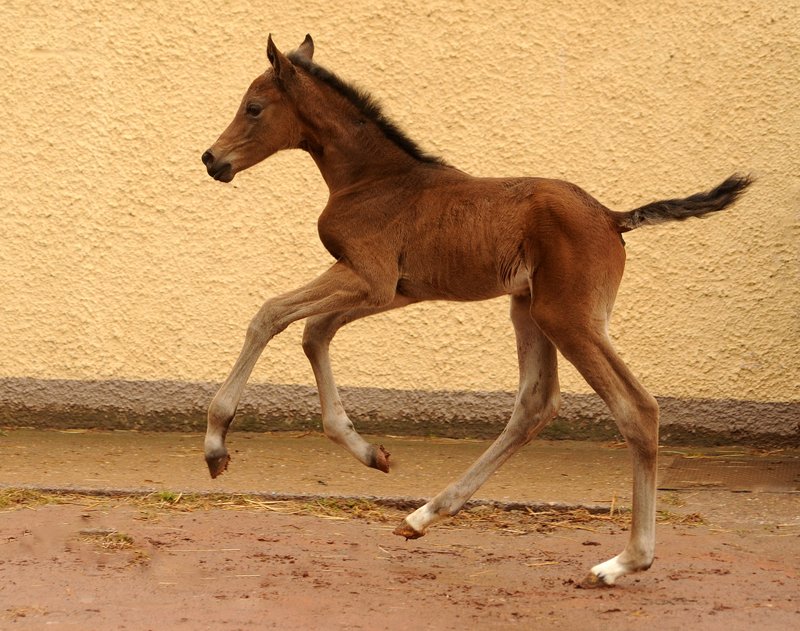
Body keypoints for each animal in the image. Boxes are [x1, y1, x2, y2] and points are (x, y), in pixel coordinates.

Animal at [200, 35, 752, 588]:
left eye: (253, 108)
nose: (211, 159)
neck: (374, 179)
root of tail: (612, 217)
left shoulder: (368, 278)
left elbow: (269, 315)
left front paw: (216, 443)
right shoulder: (391, 290)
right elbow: (313, 332)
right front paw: (369, 451)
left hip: (568, 318)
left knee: (636, 408)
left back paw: (624, 562)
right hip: (529, 309)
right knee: (536, 403)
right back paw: (423, 516)